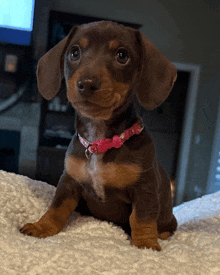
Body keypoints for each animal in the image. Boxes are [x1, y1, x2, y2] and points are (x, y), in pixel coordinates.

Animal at [20, 20, 178, 251]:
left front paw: (145, 244)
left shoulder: (145, 189)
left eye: (122, 55)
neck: (100, 141)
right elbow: (57, 207)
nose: (87, 83)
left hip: (169, 218)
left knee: (167, 227)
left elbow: (142, 218)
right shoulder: (69, 181)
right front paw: (42, 227)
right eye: (74, 52)